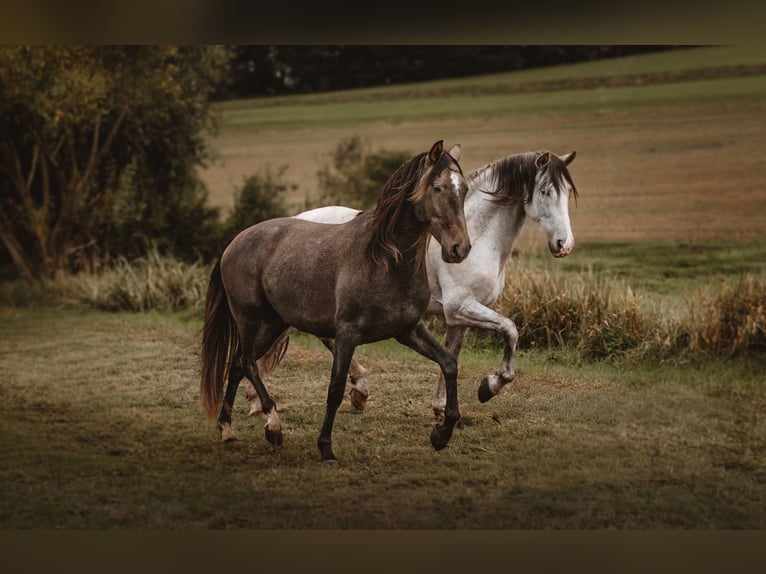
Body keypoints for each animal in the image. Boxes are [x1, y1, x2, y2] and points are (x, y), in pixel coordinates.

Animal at [199, 140, 471, 462]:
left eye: (464, 189)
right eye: (438, 188)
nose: (460, 248)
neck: (385, 260)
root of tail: (234, 242)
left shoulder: (409, 330)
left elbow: (449, 363)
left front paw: (441, 433)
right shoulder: (347, 334)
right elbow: (336, 388)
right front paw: (325, 446)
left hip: (272, 325)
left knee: (238, 365)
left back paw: (228, 429)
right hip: (251, 320)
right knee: (247, 363)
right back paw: (273, 426)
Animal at [248, 150, 577, 419]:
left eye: (566, 195)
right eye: (546, 191)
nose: (565, 245)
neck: (479, 236)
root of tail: (293, 221)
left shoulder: (460, 317)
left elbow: (451, 354)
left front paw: (442, 409)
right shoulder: (461, 307)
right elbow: (510, 330)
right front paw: (490, 387)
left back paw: (356, 392)